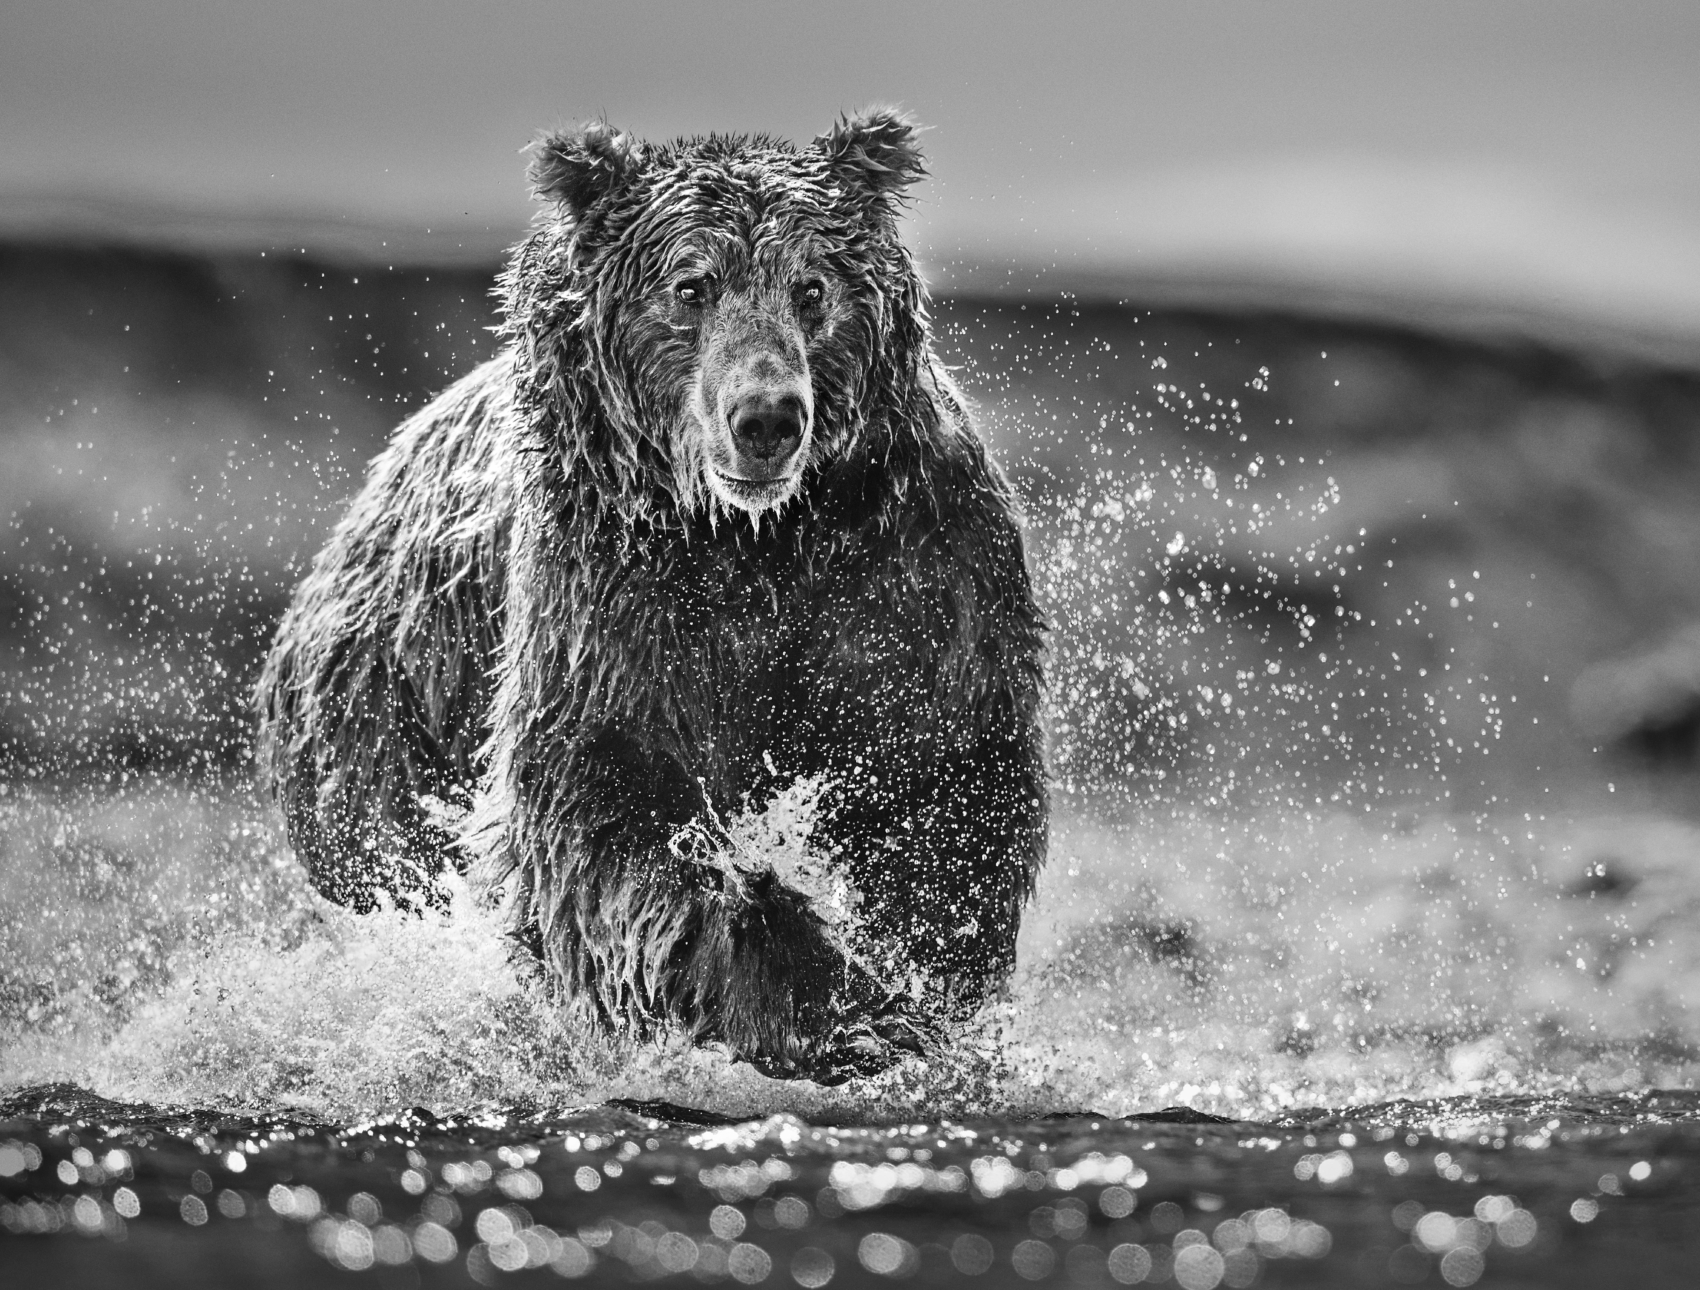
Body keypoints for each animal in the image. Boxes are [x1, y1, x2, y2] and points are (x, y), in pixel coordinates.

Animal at [255, 109, 1047, 1083]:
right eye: (692, 285)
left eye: (811, 286)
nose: (767, 417)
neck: (752, 540)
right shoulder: (610, 592)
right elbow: (602, 802)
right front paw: (805, 986)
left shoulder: (907, 566)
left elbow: (940, 778)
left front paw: (897, 993)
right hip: (387, 711)